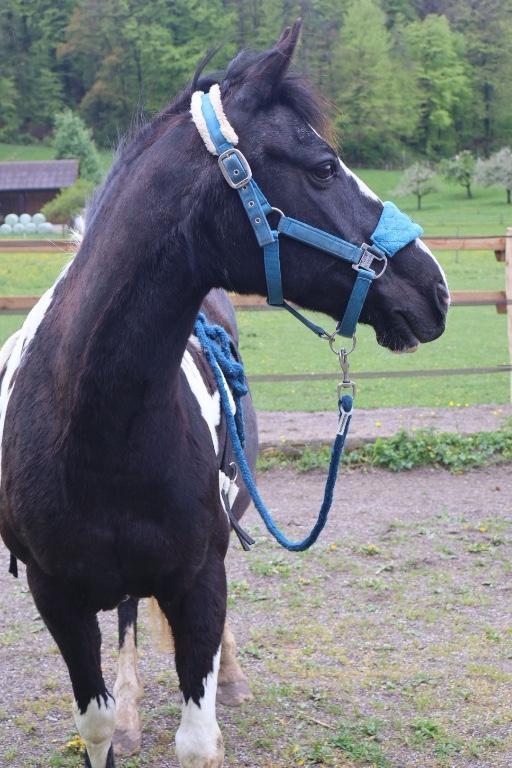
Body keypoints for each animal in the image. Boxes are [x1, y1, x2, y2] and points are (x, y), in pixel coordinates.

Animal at [0, 20, 448, 768]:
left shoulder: (199, 580)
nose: (435, 287)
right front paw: (118, 719)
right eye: (323, 167)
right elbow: (95, 724)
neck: (93, 425)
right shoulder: (55, 596)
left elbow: (198, 736)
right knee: (128, 621)